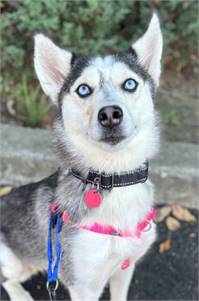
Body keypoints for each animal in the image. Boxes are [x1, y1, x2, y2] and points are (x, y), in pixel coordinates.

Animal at [0, 13, 162, 300]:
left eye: (130, 83)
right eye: (84, 89)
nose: (110, 114)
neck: (113, 178)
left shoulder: (125, 267)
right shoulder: (83, 285)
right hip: (13, 260)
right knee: (7, 279)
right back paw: (21, 295)